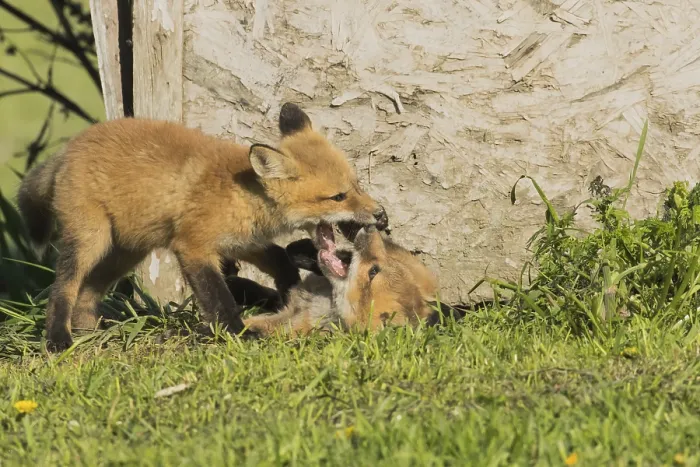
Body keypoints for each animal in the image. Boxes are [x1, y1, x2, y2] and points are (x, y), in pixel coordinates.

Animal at [17, 103, 388, 351]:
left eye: (356, 185)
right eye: (337, 197)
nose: (380, 214)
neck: (243, 194)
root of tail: (69, 147)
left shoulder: (243, 242)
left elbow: (281, 261)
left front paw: (285, 294)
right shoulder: (193, 247)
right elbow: (218, 299)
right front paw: (239, 333)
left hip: (125, 253)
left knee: (88, 291)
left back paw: (89, 332)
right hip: (90, 240)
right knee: (63, 286)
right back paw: (58, 339)